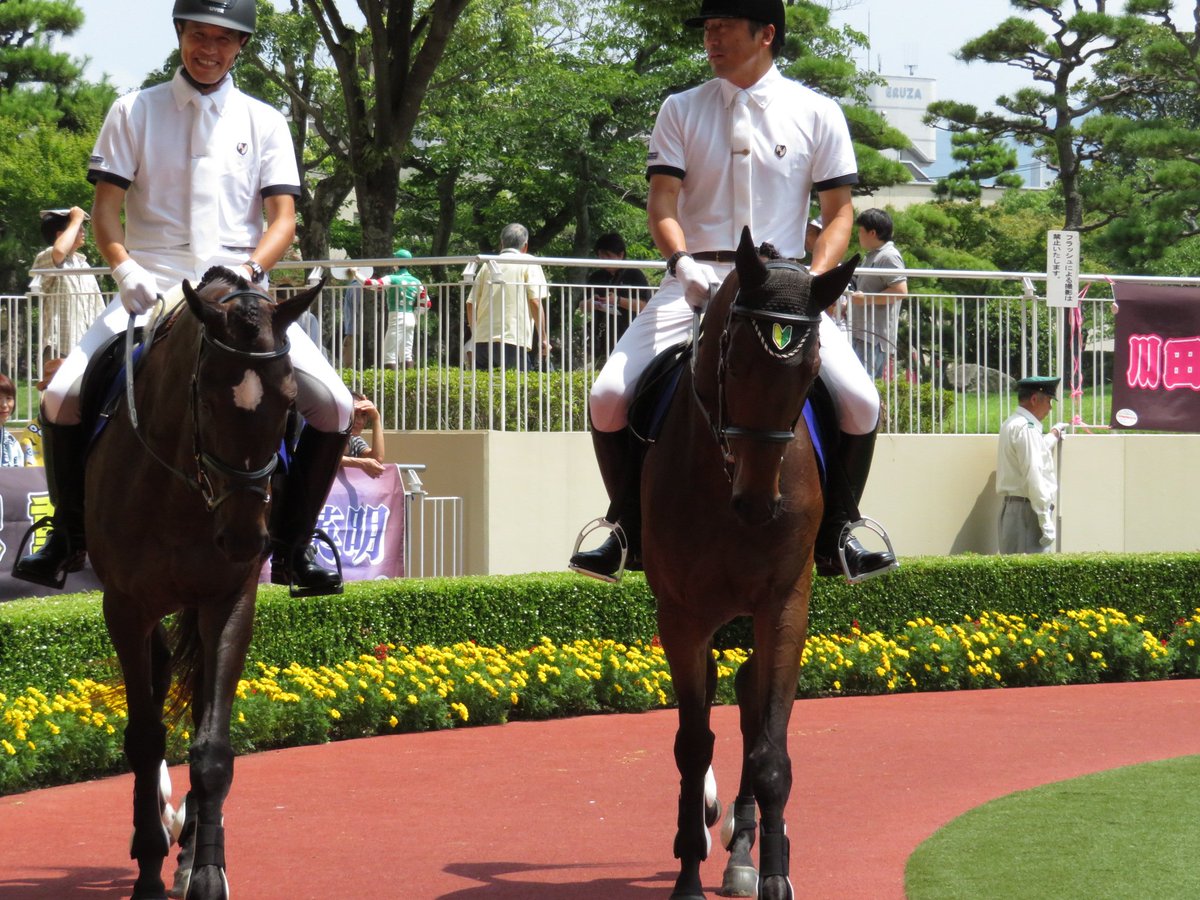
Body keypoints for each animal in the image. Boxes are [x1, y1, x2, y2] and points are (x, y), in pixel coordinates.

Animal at [87, 270, 321, 900]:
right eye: (209, 399)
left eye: (291, 402)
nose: (243, 538)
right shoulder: (126, 607)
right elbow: (144, 738)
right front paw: (149, 866)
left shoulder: (229, 600)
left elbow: (212, 747)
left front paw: (209, 870)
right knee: (162, 685)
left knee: (193, 704)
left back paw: (190, 843)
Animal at [648, 229, 854, 897]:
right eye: (734, 362)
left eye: (811, 375)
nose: (761, 504)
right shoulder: (680, 612)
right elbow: (692, 742)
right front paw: (688, 873)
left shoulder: (784, 602)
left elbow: (770, 750)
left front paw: (773, 873)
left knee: (745, 700)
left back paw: (744, 847)